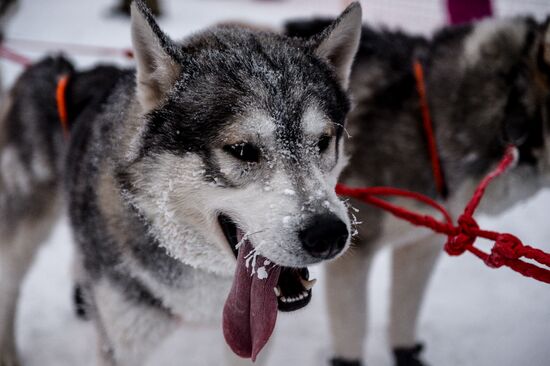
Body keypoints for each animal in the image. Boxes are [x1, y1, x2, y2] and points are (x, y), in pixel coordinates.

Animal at [1, 1, 366, 364]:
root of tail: (63, 66)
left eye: (322, 141)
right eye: (242, 150)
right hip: (19, 241)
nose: (328, 234)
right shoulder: (121, 344)